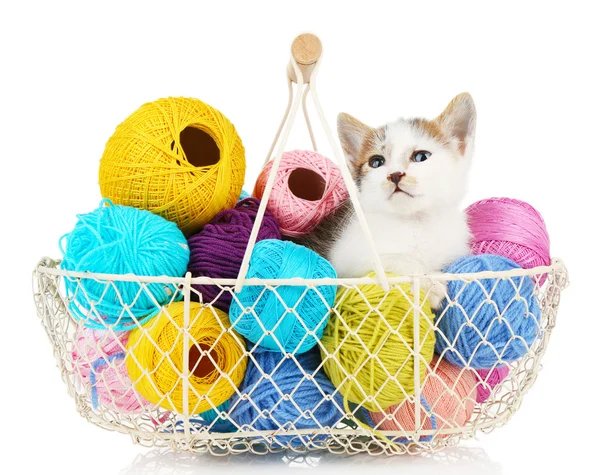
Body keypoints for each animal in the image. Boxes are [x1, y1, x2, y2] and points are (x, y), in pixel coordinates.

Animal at [298, 93, 476, 308]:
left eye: (421, 156)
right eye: (376, 162)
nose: (395, 175)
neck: (416, 222)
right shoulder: (344, 256)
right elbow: (389, 259)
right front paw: (428, 281)